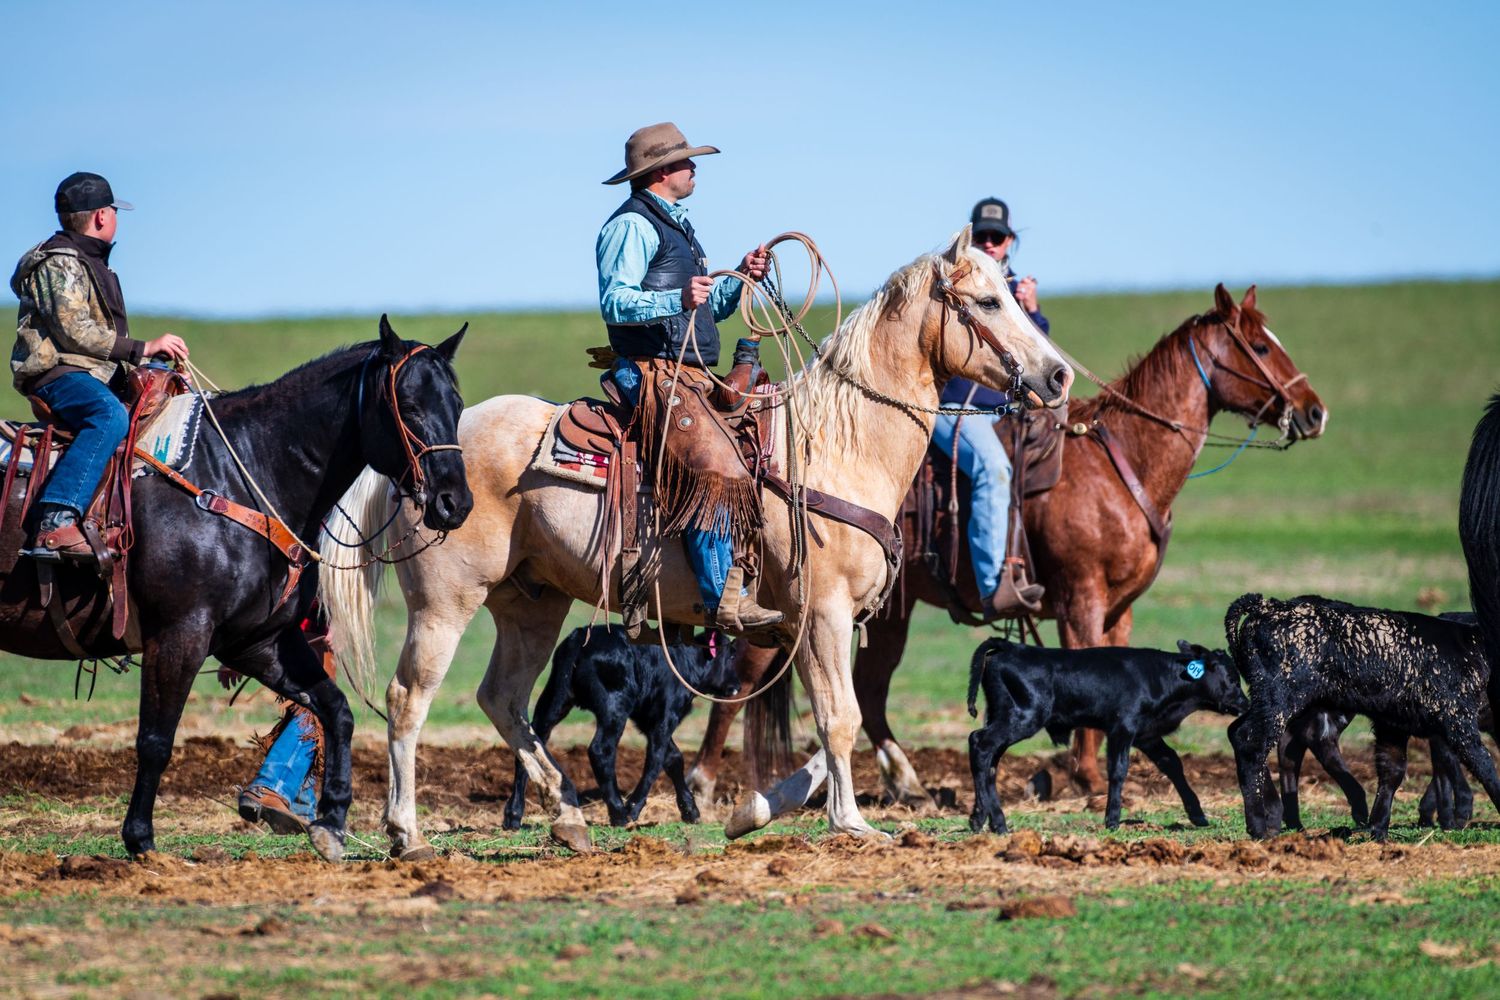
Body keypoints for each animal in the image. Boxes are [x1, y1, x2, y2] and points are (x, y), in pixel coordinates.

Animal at [0, 317, 471, 861]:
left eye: (456, 406)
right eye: (410, 407)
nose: (456, 502)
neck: (236, 476)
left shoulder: (257, 641)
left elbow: (336, 711)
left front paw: (330, 823)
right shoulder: (180, 635)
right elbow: (155, 740)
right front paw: (141, 840)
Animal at [319, 227, 1072, 859]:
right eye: (987, 300)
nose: (1059, 376)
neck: (837, 445)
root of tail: (423, 455)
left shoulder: (806, 625)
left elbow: (834, 726)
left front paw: (755, 811)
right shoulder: (824, 613)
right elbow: (841, 718)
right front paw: (853, 824)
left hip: (531, 604)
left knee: (501, 699)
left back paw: (568, 816)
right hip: (445, 604)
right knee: (408, 700)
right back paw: (406, 832)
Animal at [687, 284, 1327, 826]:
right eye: (1261, 346)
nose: (1314, 410)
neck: (1121, 464)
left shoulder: (1120, 608)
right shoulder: (1081, 600)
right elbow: (1086, 663)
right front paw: (1086, 777)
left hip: (887, 612)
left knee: (867, 689)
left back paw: (907, 783)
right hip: (804, 608)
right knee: (744, 687)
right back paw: (701, 783)